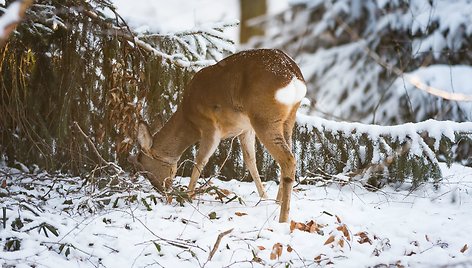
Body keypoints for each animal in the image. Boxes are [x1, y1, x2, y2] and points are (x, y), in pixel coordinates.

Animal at [135, 48, 308, 222]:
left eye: (145, 169)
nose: (161, 191)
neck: (188, 117)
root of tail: (292, 74)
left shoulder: (209, 126)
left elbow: (200, 161)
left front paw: (187, 197)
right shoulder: (245, 129)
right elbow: (250, 161)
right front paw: (264, 198)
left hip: (264, 117)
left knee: (288, 159)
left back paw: (283, 218)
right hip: (287, 119)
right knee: (288, 156)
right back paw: (277, 202)